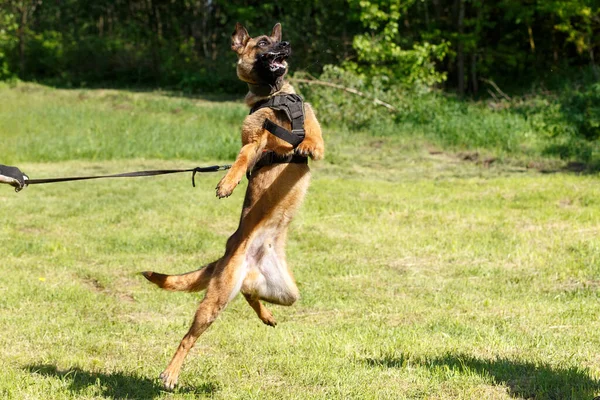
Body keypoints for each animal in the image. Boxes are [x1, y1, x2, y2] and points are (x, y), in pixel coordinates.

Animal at [142, 22, 324, 390]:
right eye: (264, 43)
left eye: (278, 40)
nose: (286, 44)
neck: (273, 95)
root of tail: (231, 256)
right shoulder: (255, 139)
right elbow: (243, 157)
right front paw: (227, 182)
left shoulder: (311, 125)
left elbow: (312, 138)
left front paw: (307, 145)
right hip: (217, 298)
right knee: (189, 336)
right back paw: (170, 373)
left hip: (284, 292)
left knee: (251, 293)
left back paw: (266, 315)